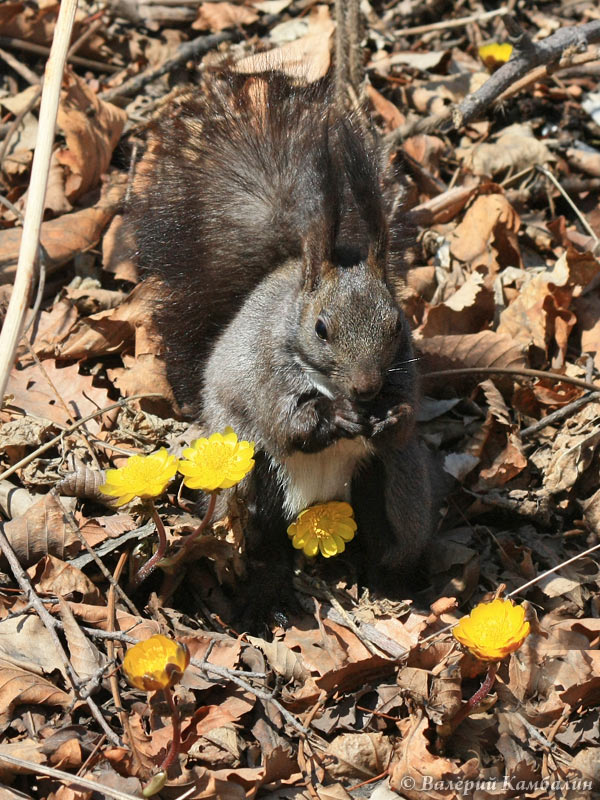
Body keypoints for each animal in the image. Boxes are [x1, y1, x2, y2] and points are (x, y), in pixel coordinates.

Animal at [129, 69, 434, 624]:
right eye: (320, 329)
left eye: (395, 325)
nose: (367, 389)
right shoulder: (267, 375)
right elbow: (288, 424)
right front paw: (333, 419)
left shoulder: (405, 373)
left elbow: (404, 422)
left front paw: (390, 417)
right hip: (250, 479)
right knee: (259, 539)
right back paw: (260, 595)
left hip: (396, 488)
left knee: (391, 536)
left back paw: (393, 582)